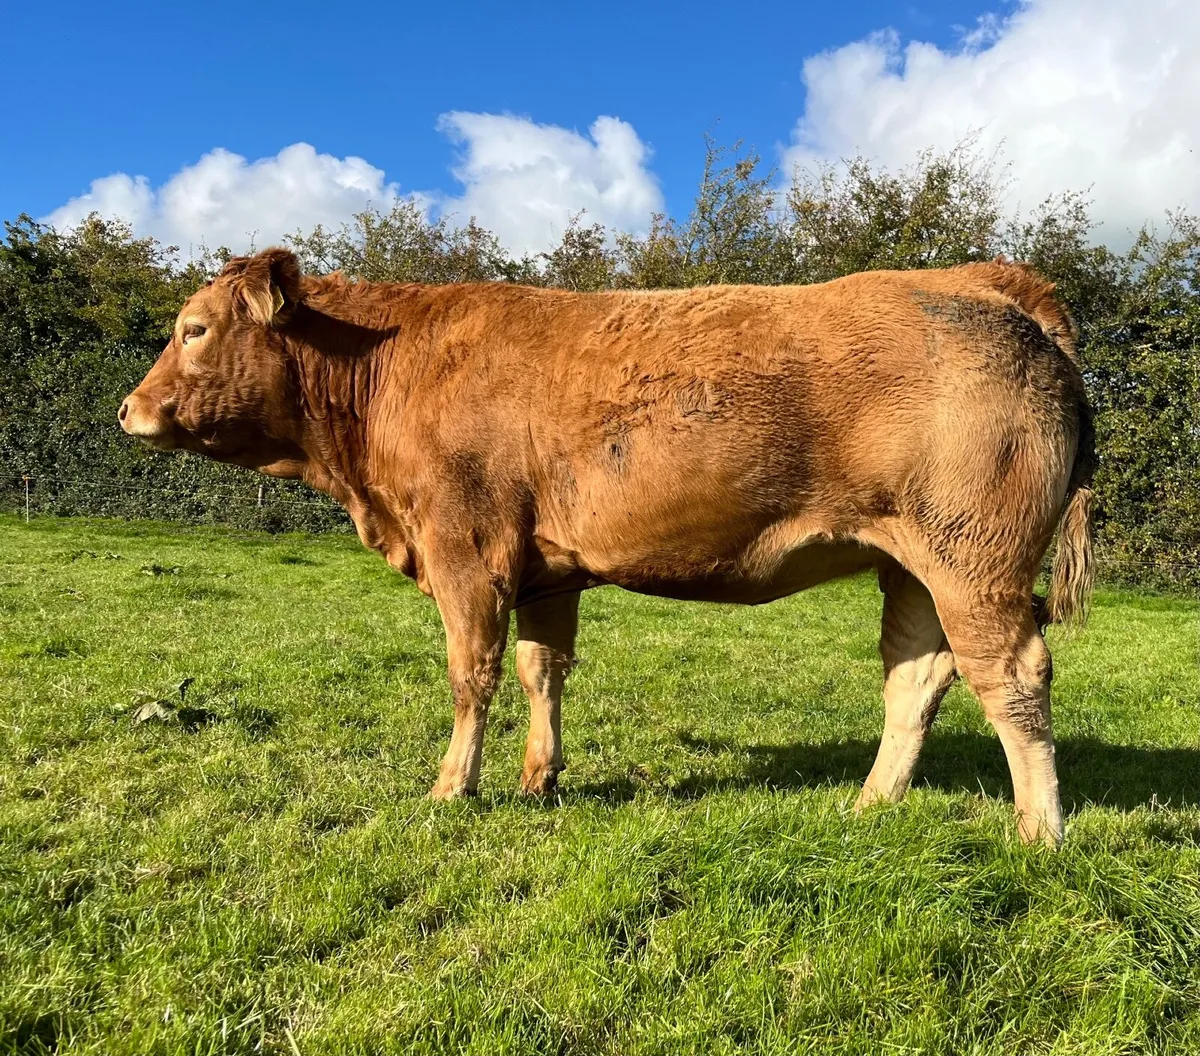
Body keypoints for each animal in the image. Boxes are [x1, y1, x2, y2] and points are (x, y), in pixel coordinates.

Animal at [119, 248, 1095, 846]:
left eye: (194, 328)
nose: (129, 408)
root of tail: (986, 280)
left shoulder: (467, 548)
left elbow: (470, 673)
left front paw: (453, 787)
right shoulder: (545, 568)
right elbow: (540, 670)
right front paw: (538, 780)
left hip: (976, 558)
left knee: (1013, 675)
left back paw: (1039, 831)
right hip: (914, 566)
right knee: (918, 676)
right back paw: (869, 802)